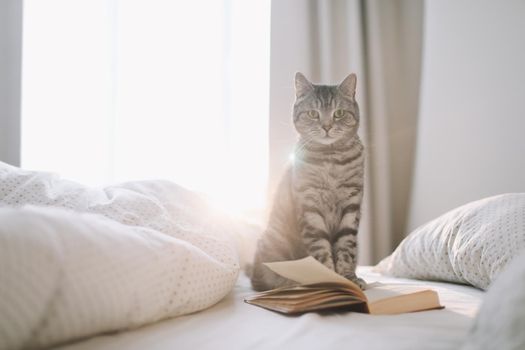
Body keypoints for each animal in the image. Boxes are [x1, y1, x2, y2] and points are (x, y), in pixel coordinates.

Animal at [249, 72, 364, 292]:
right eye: (312, 114)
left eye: (339, 113)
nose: (326, 127)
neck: (330, 159)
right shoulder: (310, 207)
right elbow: (320, 250)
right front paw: (330, 279)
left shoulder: (351, 205)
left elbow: (346, 247)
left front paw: (348, 278)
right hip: (273, 244)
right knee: (264, 281)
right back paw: (291, 283)